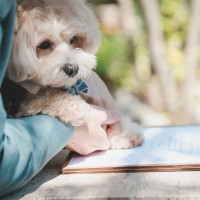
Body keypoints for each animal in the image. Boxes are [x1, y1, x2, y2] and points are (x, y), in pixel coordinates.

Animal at [5, 0, 143, 148]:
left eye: (73, 39)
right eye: (44, 44)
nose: (72, 69)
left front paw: (125, 135)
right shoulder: (22, 104)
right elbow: (44, 95)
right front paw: (77, 108)